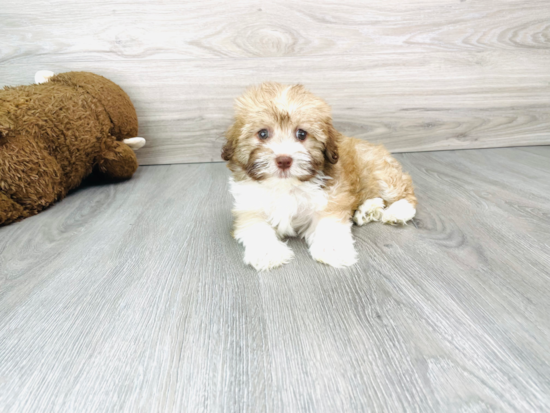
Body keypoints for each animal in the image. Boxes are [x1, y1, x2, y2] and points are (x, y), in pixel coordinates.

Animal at [222, 83, 416, 270]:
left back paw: (398, 210)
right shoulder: (249, 206)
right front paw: (267, 253)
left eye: (301, 134)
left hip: (380, 172)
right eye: (263, 133)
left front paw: (332, 249)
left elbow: (329, 222)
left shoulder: (332, 197)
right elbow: (255, 226)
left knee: (405, 191)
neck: (286, 186)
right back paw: (368, 210)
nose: (284, 160)